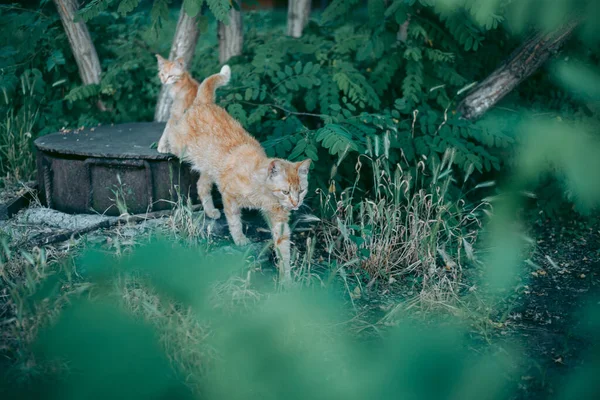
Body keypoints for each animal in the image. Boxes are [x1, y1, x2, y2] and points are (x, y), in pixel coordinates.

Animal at [158, 65, 310, 282]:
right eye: (286, 192)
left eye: (302, 190)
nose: (296, 203)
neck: (262, 191)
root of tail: (204, 102)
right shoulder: (229, 196)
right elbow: (234, 221)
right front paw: (239, 239)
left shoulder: (279, 220)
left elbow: (284, 250)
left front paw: (287, 280)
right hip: (181, 147)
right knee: (171, 124)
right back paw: (162, 144)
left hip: (209, 168)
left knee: (201, 186)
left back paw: (210, 211)